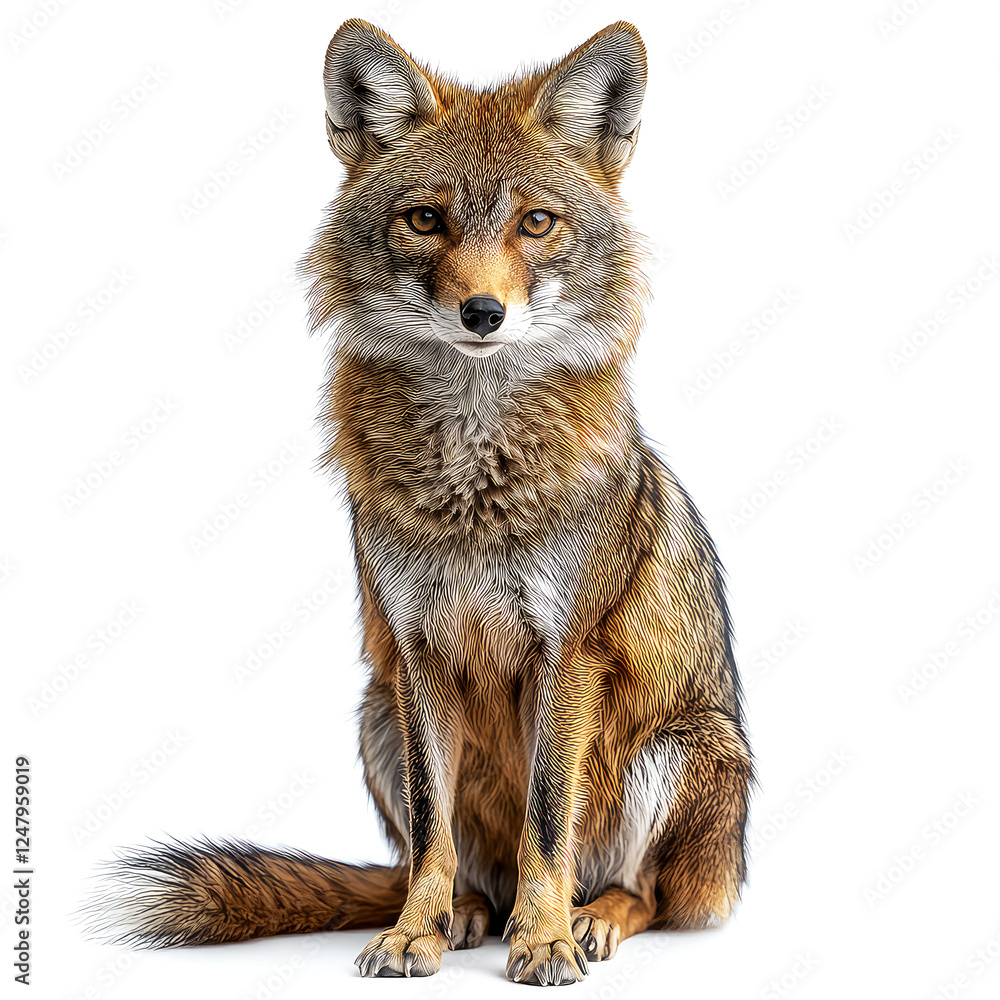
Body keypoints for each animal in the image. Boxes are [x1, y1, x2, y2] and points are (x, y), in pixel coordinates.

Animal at [82, 18, 753, 987]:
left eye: (535, 223)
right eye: (425, 219)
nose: (482, 313)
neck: (471, 488)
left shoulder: (568, 654)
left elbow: (546, 822)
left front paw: (546, 939)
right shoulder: (418, 650)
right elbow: (434, 827)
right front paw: (415, 933)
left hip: (679, 750)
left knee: (648, 894)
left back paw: (586, 919)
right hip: (377, 718)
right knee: (450, 867)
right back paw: (466, 915)